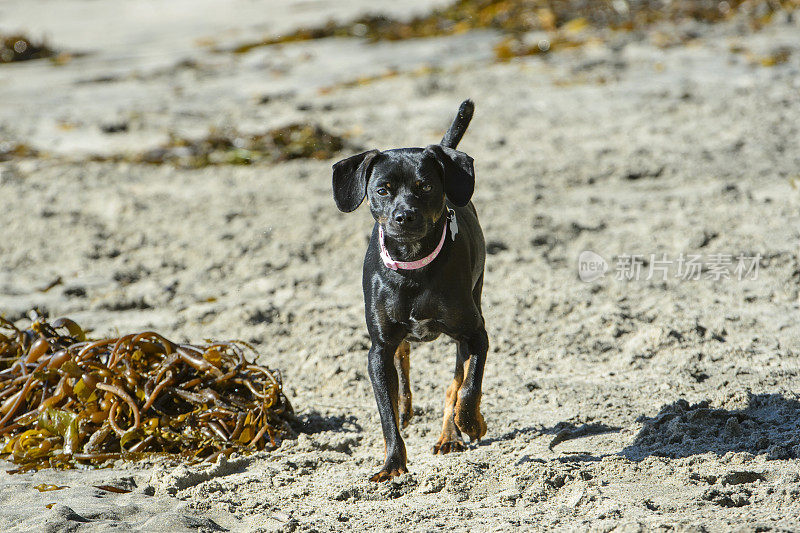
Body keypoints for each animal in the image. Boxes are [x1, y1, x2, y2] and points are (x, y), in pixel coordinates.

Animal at [332, 101, 488, 482]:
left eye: (425, 186)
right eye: (383, 189)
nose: (404, 216)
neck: (413, 267)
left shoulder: (475, 334)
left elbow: (468, 387)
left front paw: (471, 423)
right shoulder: (377, 350)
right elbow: (386, 413)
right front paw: (392, 464)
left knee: (454, 384)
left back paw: (450, 435)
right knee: (402, 357)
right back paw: (407, 408)